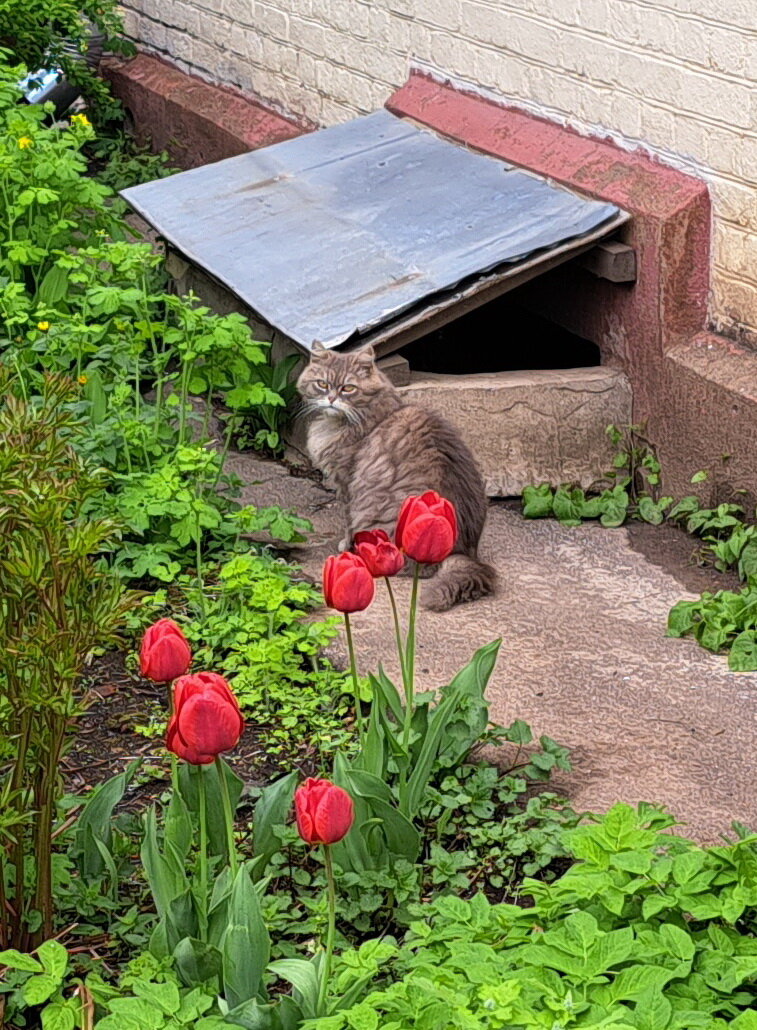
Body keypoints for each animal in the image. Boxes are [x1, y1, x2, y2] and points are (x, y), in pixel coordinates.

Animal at [296, 341, 498, 605]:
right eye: (322, 384)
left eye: (348, 388)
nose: (331, 399)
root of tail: (462, 550)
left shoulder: (347, 480)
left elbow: (348, 520)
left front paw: (345, 544)